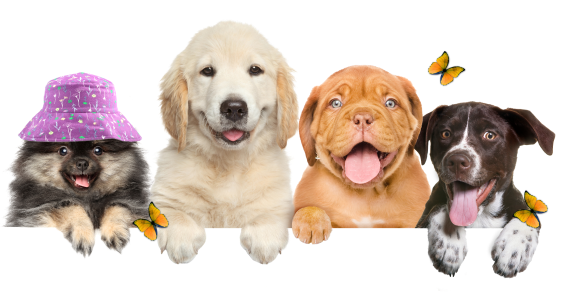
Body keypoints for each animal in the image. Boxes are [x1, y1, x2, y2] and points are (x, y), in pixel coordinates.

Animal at [150, 19, 300, 266]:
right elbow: (174, 211)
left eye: (255, 70)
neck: (229, 164)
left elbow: (271, 210)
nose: (234, 108)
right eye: (207, 71)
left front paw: (264, 236)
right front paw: (181, 236)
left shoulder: (279, 196)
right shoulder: (165, 194)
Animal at [290, 63, 432, 244]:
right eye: (335, 103)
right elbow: (307, 208)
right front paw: (311, 220)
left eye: (390, 103)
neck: (366, 194)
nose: (363, 118)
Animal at [416, 102, 556, 280]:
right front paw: (449, 243)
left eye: (489, 135)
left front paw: (513, 248)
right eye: (445, 133)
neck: (481, 216)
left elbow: (529, 216)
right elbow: (440, 207)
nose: (457, 161)